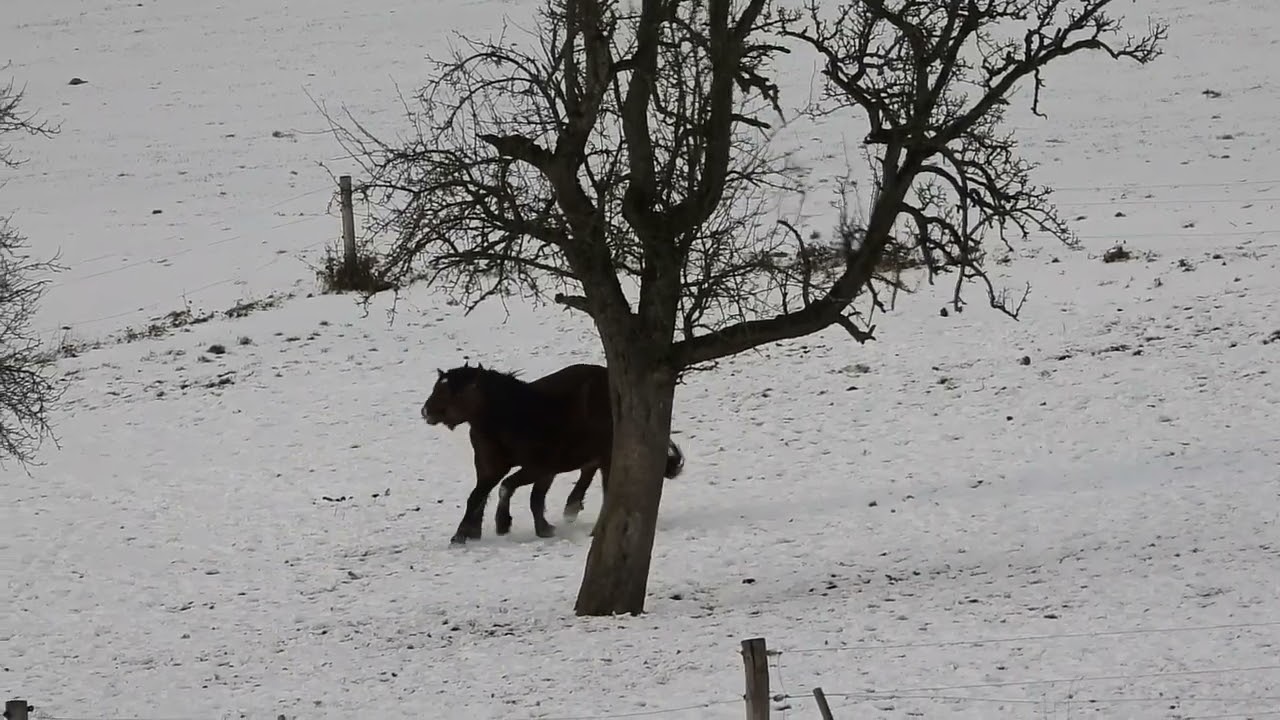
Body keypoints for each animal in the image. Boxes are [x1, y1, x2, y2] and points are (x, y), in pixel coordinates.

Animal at [420, 361, 686, 545]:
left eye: (450, 392)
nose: (425, 411)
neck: (510, 415)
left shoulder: (541, 468)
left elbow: (515, 490)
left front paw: (506, 523)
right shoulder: (491, 469)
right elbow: (477, 496)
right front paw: (464, 533)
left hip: (607, 456)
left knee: (606, 488)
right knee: (589, 472)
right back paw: (572, 507)